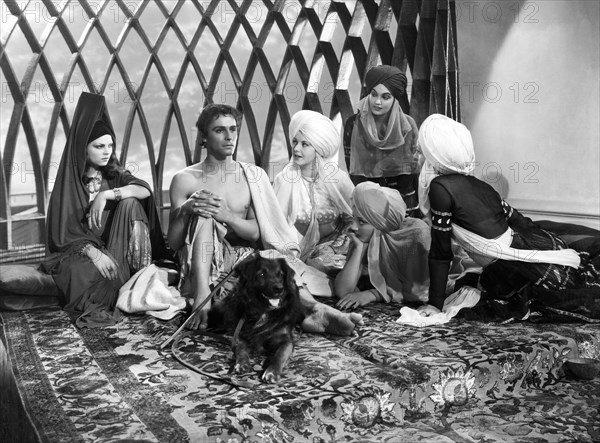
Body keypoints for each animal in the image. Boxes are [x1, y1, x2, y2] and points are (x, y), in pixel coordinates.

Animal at [210, 251, 304, 384]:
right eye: (261, 274)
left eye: (281, 275)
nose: (279, 289)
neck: (264, 311)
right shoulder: (241, 334)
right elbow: (241, 348)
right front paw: (242, 363)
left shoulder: (286, 341)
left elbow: (280, 355)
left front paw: (272, 371)